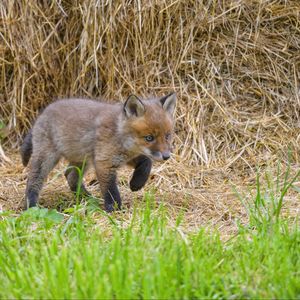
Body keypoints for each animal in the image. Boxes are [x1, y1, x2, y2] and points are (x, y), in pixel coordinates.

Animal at [20, 92, 176, 212]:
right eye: (149, 138)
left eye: (167, 136)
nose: (166, 156)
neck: (119, 135)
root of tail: (43, 113)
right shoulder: (104, 163)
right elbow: (111, 190)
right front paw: (114, 209)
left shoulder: (128, 157)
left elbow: (146, 162)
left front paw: (136, 184)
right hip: (46, 158)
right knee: (33, 180)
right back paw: (31, 207)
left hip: (83, 160)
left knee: (70, 175)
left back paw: (87, 198)